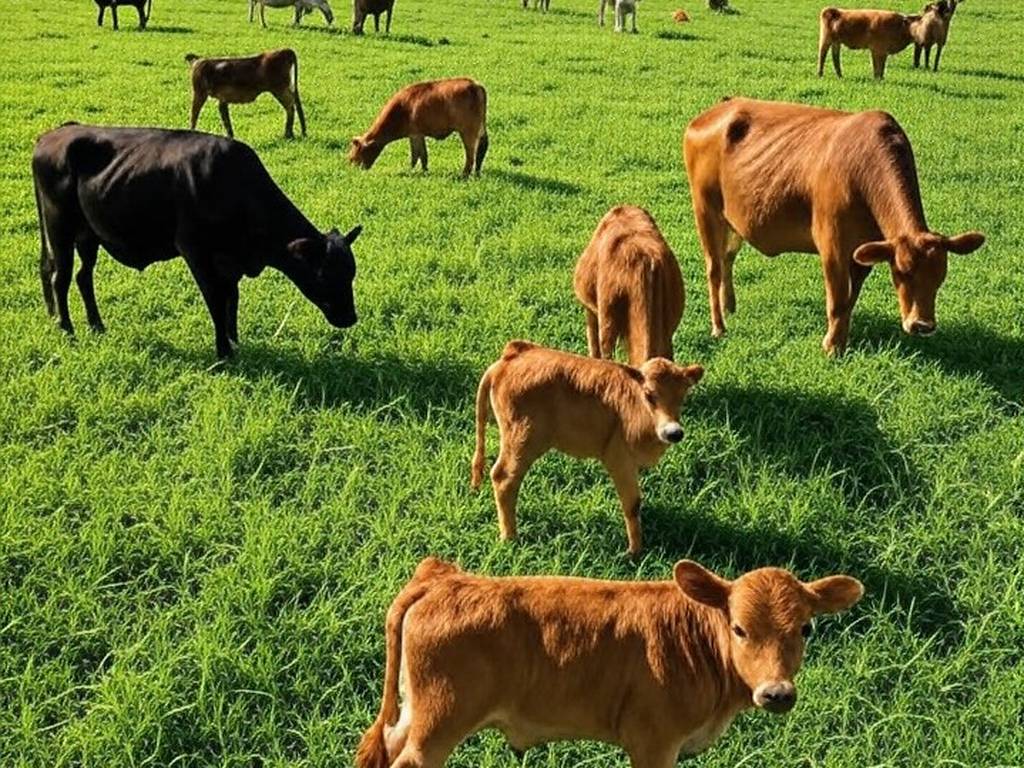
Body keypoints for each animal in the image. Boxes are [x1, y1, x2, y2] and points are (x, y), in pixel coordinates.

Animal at [32, 124, 361, 359]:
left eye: (351, 274)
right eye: (324, 275)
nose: (350, 318)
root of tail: (53, 134)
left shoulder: (229, 262)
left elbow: (231, 299)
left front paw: (234, 341)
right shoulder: (195, 252)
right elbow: (215, 299)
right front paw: (223, 352)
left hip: (89, 235)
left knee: (83, 276)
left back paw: (97, 326)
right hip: (59, 227)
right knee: (60, 278)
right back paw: (67, 329)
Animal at [349, 79, 488, 179]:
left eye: (354, 155)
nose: (353, 167)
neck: (402, 109)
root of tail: (475, 85)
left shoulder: (415, 135)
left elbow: (416, 156)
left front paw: (410, 170)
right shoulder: (418, 135)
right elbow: (423, 155)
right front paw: (424, 171)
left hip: (468, 131)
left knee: (471, 155)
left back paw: (464, 174)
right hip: (480, 130)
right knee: (481, 150)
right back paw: (477, 172)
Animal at [356, 556, 864, 768]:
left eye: (806, 628)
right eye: (739, 628)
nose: (776, 693)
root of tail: (445, 579)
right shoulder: (655, 742)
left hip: (414, 710)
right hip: (441, 720)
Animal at [471, 341, 703, 555]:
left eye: (683, 395)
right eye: (649, 395)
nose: (673, 432)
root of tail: (510, 356)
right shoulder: (618, 457)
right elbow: (632, 504)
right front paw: (635, 552)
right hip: (522, 439)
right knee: (503, 477)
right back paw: (510, 537)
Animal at [682, 98, 985, 355]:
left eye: (940, 276)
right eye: (902, 273)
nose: (922, 325)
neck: (864, 174)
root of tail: (719, 108)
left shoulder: (865, 250)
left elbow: (851, 299)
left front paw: (841, 340)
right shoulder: (832, 245)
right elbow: (837, 300)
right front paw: (831, 347)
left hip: (732, 219)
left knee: (727, 257)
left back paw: (730, 306)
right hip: (705, 209)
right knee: (713, 268)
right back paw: (719, 326)